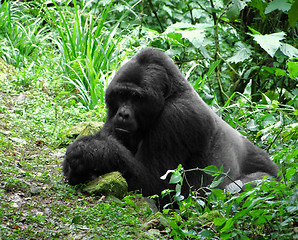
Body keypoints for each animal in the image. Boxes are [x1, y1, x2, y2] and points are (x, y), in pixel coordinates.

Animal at [62, 47, 280, 199]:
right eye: (121, 95)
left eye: (136, 98)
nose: (123, 114)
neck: (171, 93)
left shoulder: (178, 116)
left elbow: (154, 185)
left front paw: (90, 152)